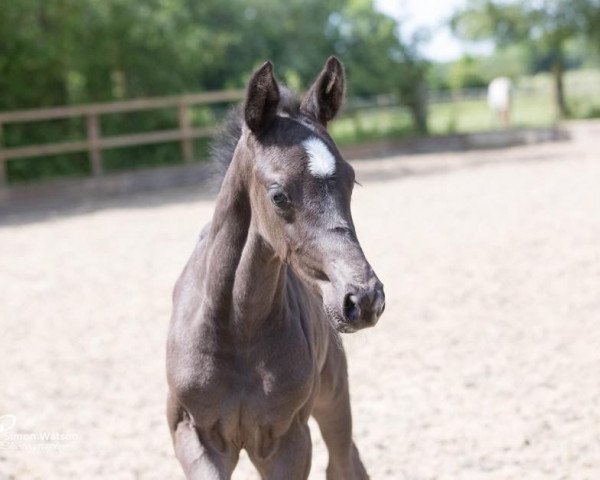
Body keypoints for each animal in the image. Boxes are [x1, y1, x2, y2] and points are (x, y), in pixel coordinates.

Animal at [166, 58, 386, 478]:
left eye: (352, 181)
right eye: (279, 195)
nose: (364, 298)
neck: (237, 328)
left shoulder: (286, 440)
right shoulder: (191, 432)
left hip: (334, 396)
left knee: (344, 462)